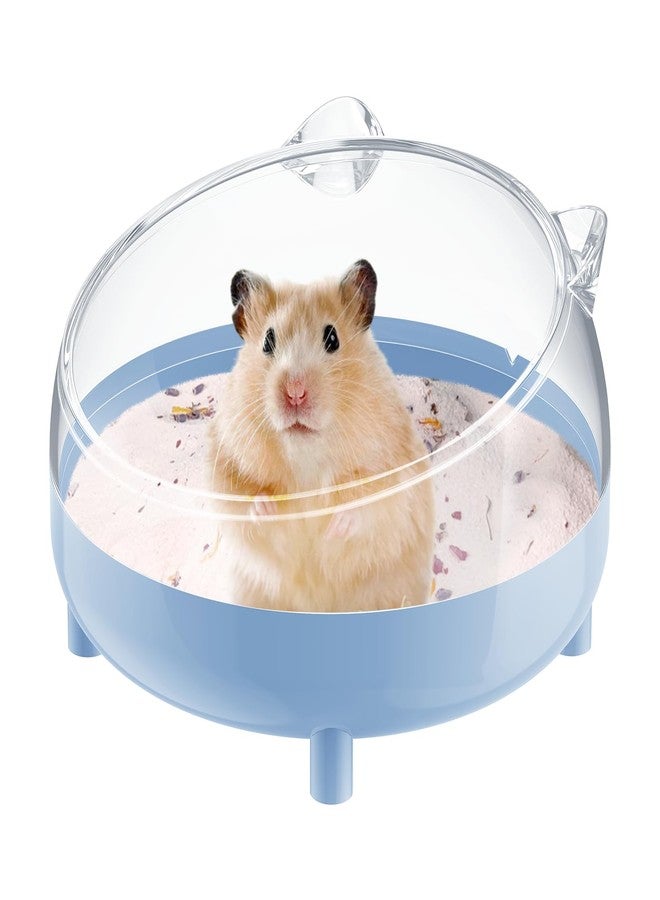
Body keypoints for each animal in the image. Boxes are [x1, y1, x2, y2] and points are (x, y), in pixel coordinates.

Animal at [209, 260, 435, 612]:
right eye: (267, 341)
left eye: (332, 338)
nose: (295, 393)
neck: (306, 455)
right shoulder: (226, 466)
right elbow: (241, 504)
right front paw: (267, 509)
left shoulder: (395, 474)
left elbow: (372, 506)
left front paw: (335, 526)